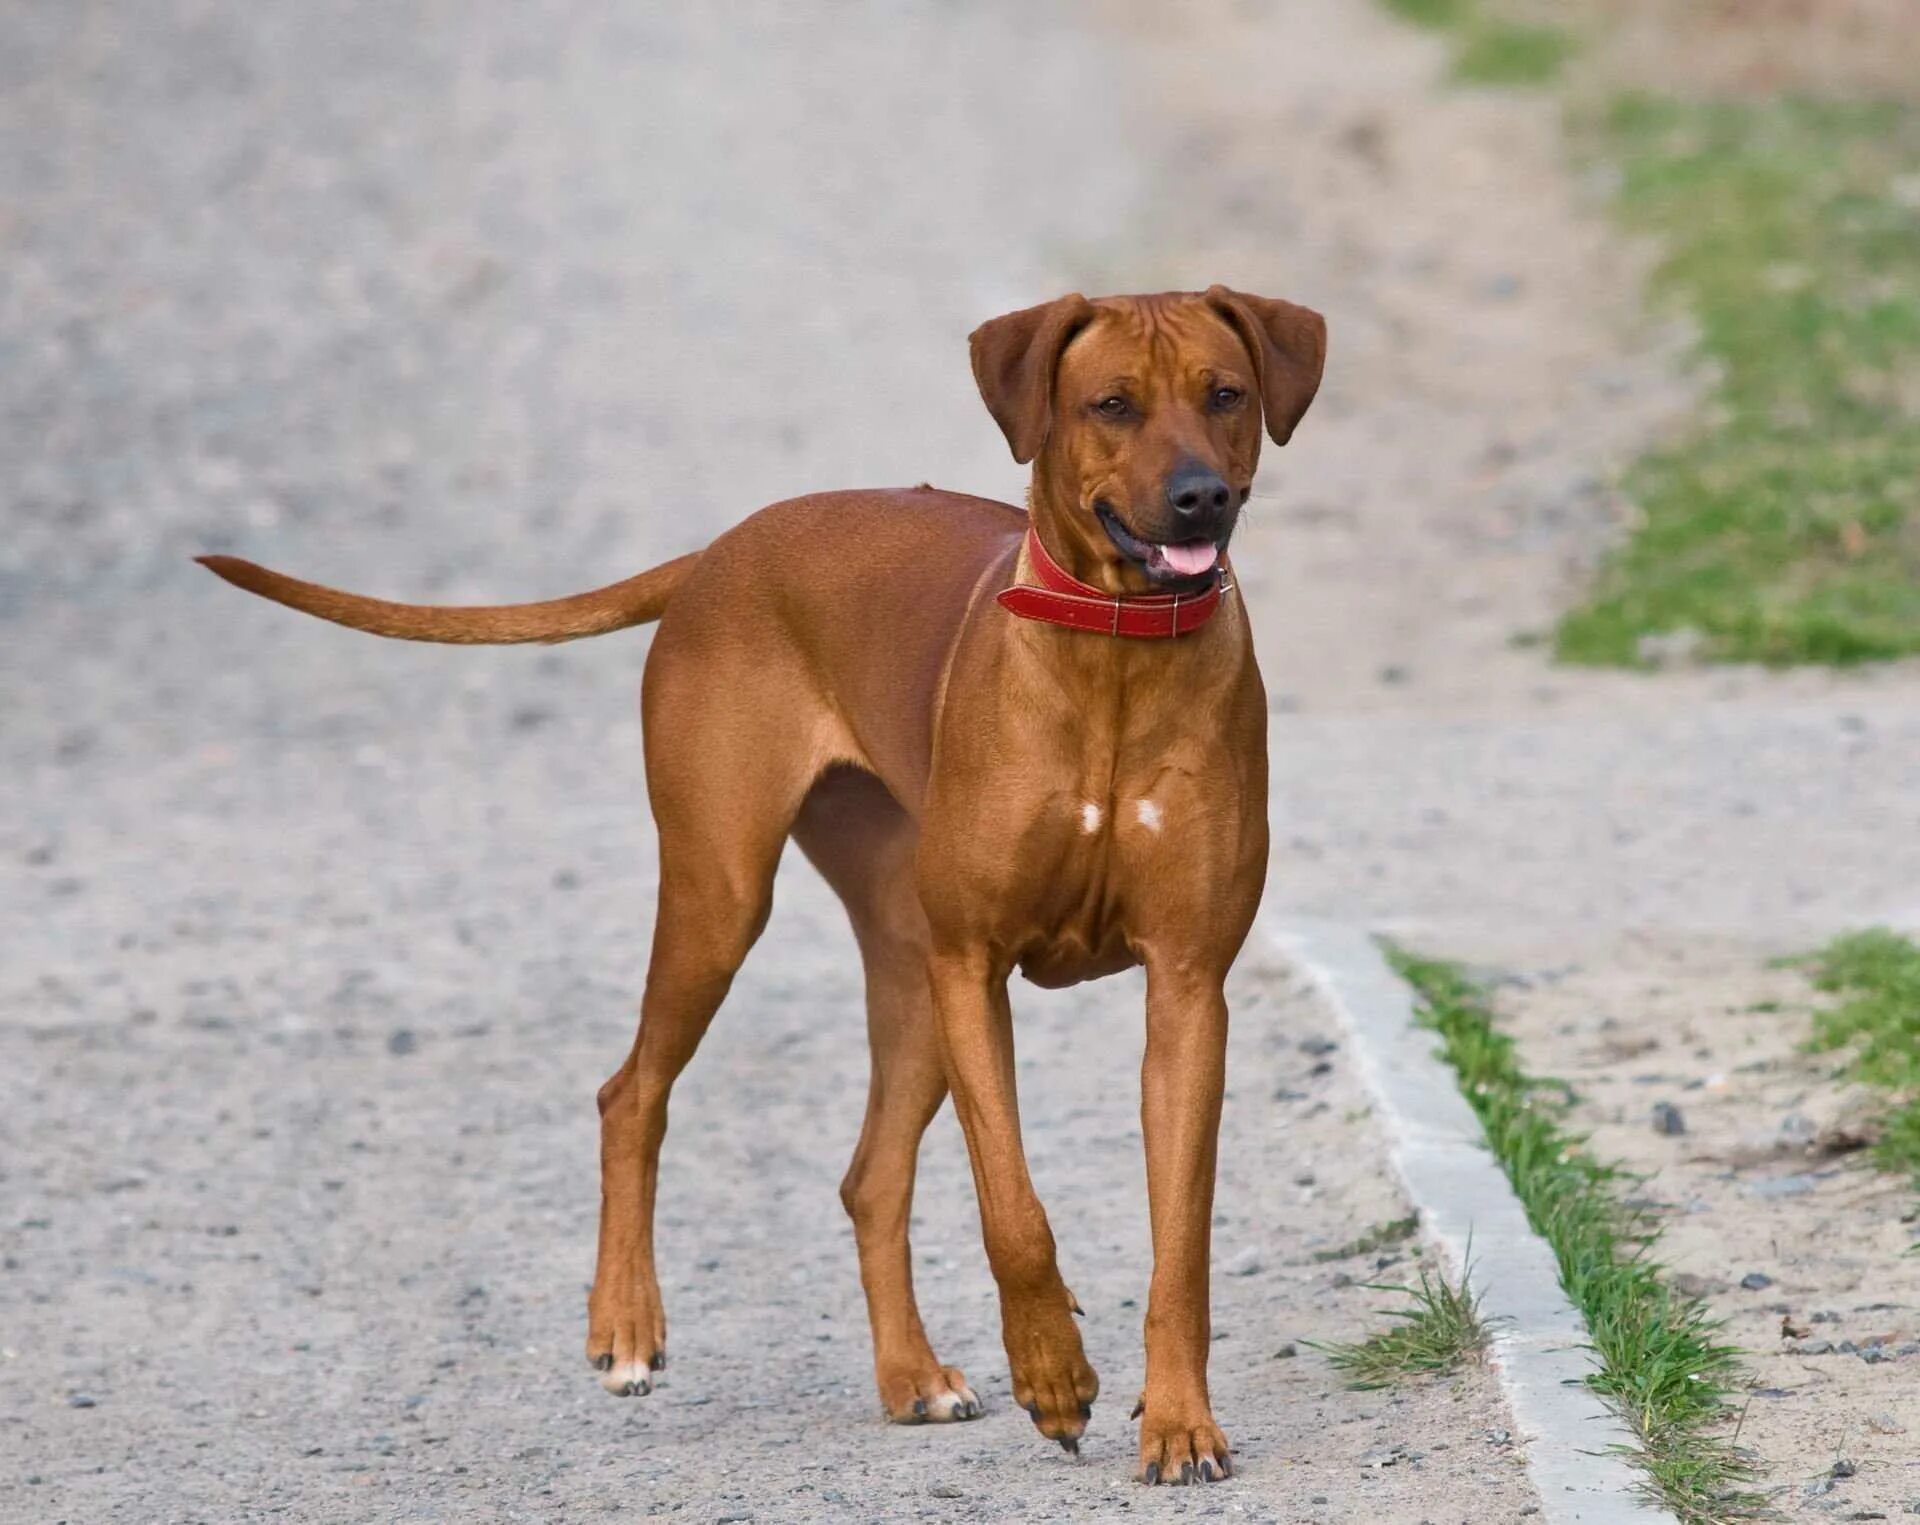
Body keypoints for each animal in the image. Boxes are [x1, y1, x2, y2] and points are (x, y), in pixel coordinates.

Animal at [202, 284, 1328, 1475]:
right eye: (1111, 404)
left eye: (1226, 394)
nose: (1200, 496)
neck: (1112, 655)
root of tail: (721, 548)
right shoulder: (974, 965)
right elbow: (1014, 1214)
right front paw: (1054, 1375)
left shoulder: (1186, 987)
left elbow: (1180, 1245)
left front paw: (1178, 1421)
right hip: (727, 897)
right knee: (630, 1093)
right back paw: (628, 1326)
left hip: (907, 974)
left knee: (869, 1177)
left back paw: (911, 1376)